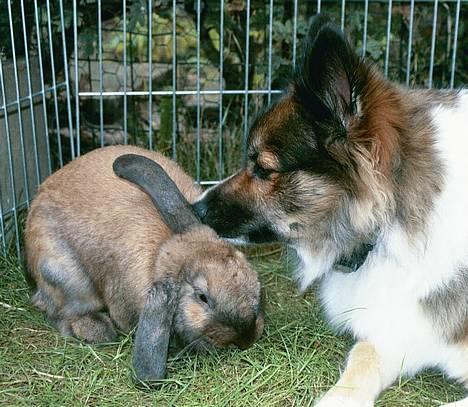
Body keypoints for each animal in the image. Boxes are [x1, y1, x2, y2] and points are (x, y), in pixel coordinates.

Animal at [25, 146, 264, 382]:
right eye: (202, 297)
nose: (246, 338)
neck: (163, 250)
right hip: (66, 278)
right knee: (60, 314)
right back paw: (97, 330)